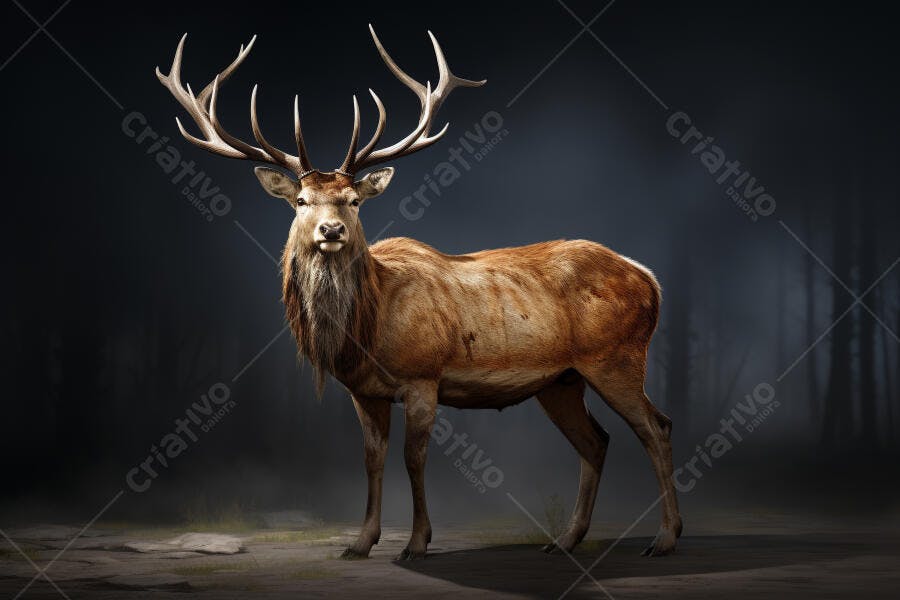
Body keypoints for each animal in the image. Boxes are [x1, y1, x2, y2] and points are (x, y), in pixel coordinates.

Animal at [157, 26, 683, 561]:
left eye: (352, 200)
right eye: (301, 201)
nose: (330, 230)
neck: (366, 329)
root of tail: (650, 279)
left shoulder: (423, 376)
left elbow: (414, 458)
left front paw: (415, 543)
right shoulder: (364, 392)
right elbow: (371, 459)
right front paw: (360, 542)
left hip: (615, 357)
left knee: (655, 427)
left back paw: (664, 538)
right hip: (561, 380)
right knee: (596, 441)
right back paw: (567, 540)